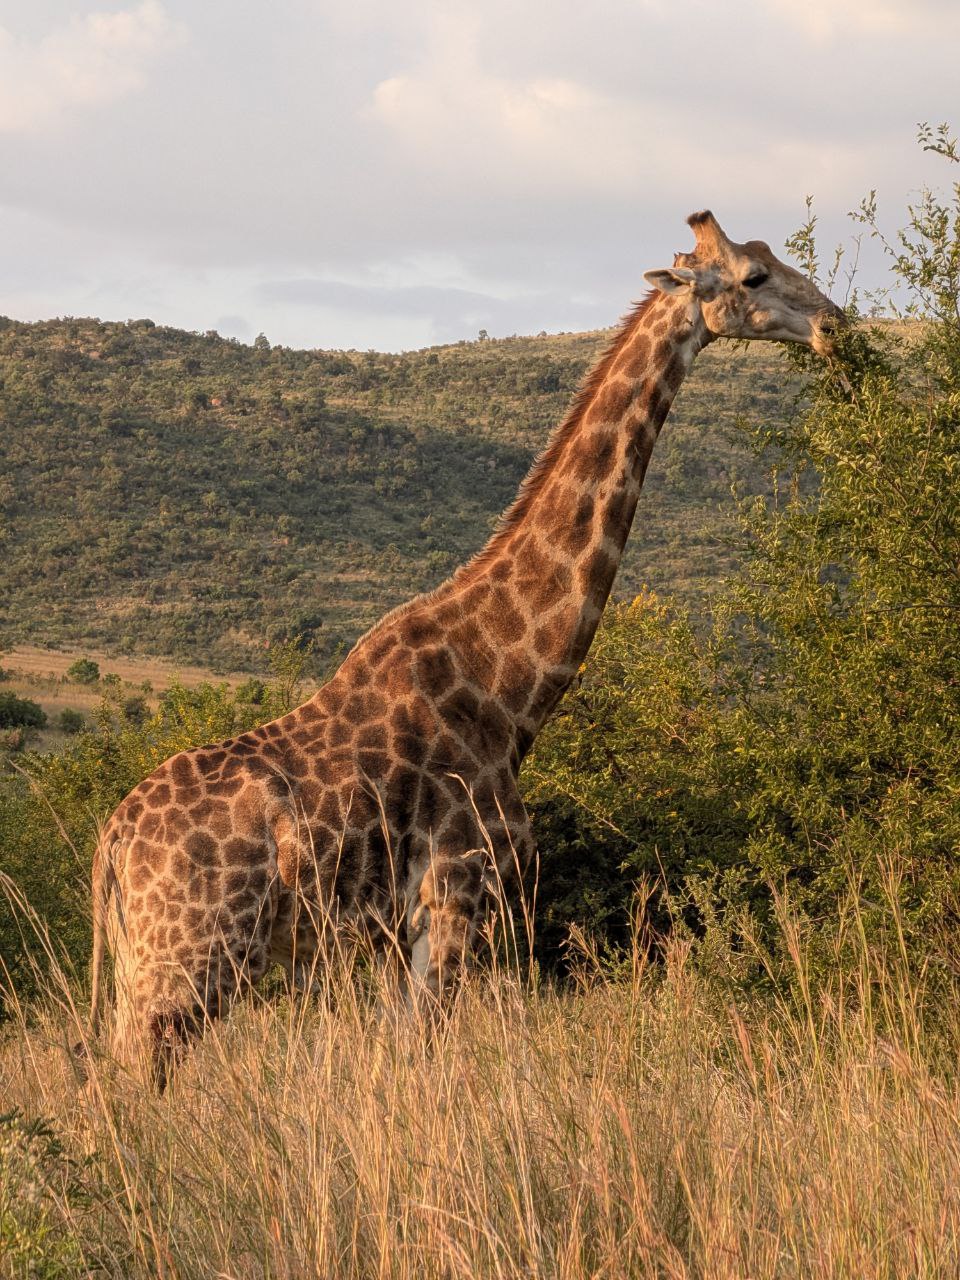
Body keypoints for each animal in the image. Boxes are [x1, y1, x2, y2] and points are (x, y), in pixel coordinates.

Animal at [87, 211, 843, 1085]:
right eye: (753, 278)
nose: (833, 324)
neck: (508, 689)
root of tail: (112, 844)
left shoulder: (396, 933)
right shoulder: (459, 894)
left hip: (149, 964)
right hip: (191, 959)